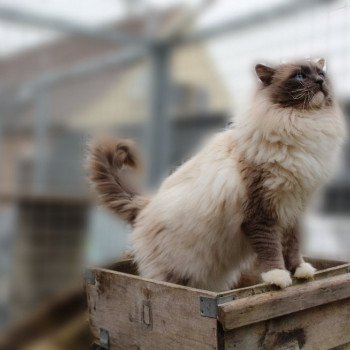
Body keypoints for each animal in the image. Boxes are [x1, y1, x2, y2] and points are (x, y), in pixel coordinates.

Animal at [89, 59, 346, 290]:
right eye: (300, 76)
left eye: (321, 73)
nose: (320, 81)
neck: (302, 125)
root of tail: (146, 205)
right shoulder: (261, 213)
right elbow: (271, 249)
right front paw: (278, 277)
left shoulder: (294, 210)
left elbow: (293, 247)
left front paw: (301, 272)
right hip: (175, 271)